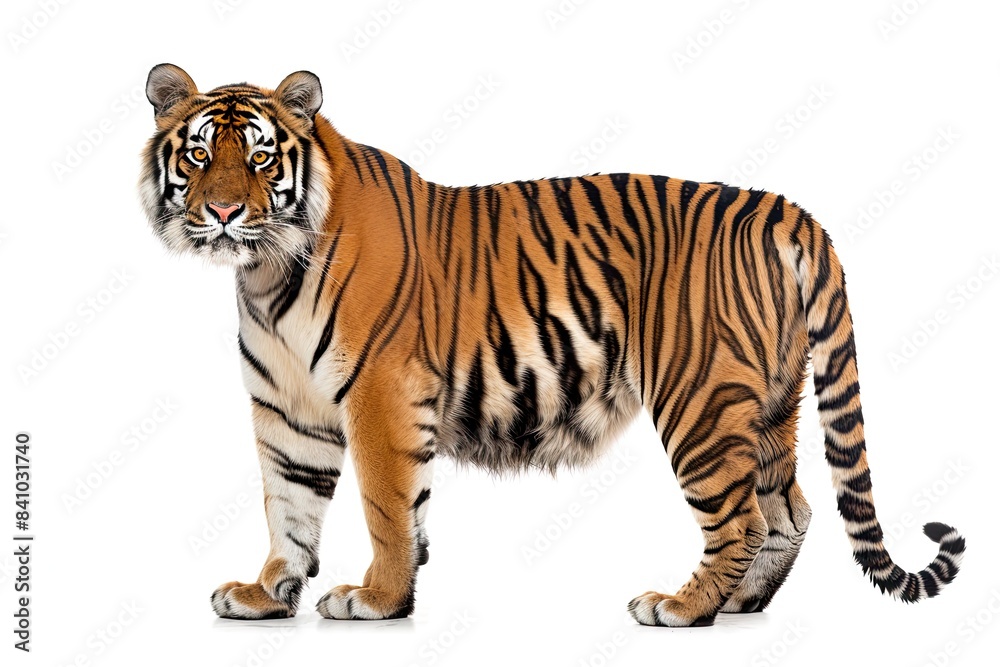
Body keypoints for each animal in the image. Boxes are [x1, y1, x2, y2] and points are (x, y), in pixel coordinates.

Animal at [139, 63, 965, 627]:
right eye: (201, 155)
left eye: (261, 158)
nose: (223, 211)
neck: (266, 272)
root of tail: (780, 207)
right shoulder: (288, 410)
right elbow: (289, 504)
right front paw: (268, 591)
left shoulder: (381, 392)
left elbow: (385, 504)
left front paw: (376, 597)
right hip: (768, 404)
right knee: (791, 510)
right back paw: (742, 601)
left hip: (699, 399)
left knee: (743, 519)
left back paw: (683, 606)